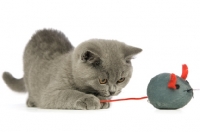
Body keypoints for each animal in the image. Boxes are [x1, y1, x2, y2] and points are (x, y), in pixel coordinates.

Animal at [1, 29, 142, 110]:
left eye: (121, 80)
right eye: (102, 81)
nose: (113, 91)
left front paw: (104, 100)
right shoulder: (50, 93)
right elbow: (69, 93)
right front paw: (88, 99)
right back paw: (31, 102)